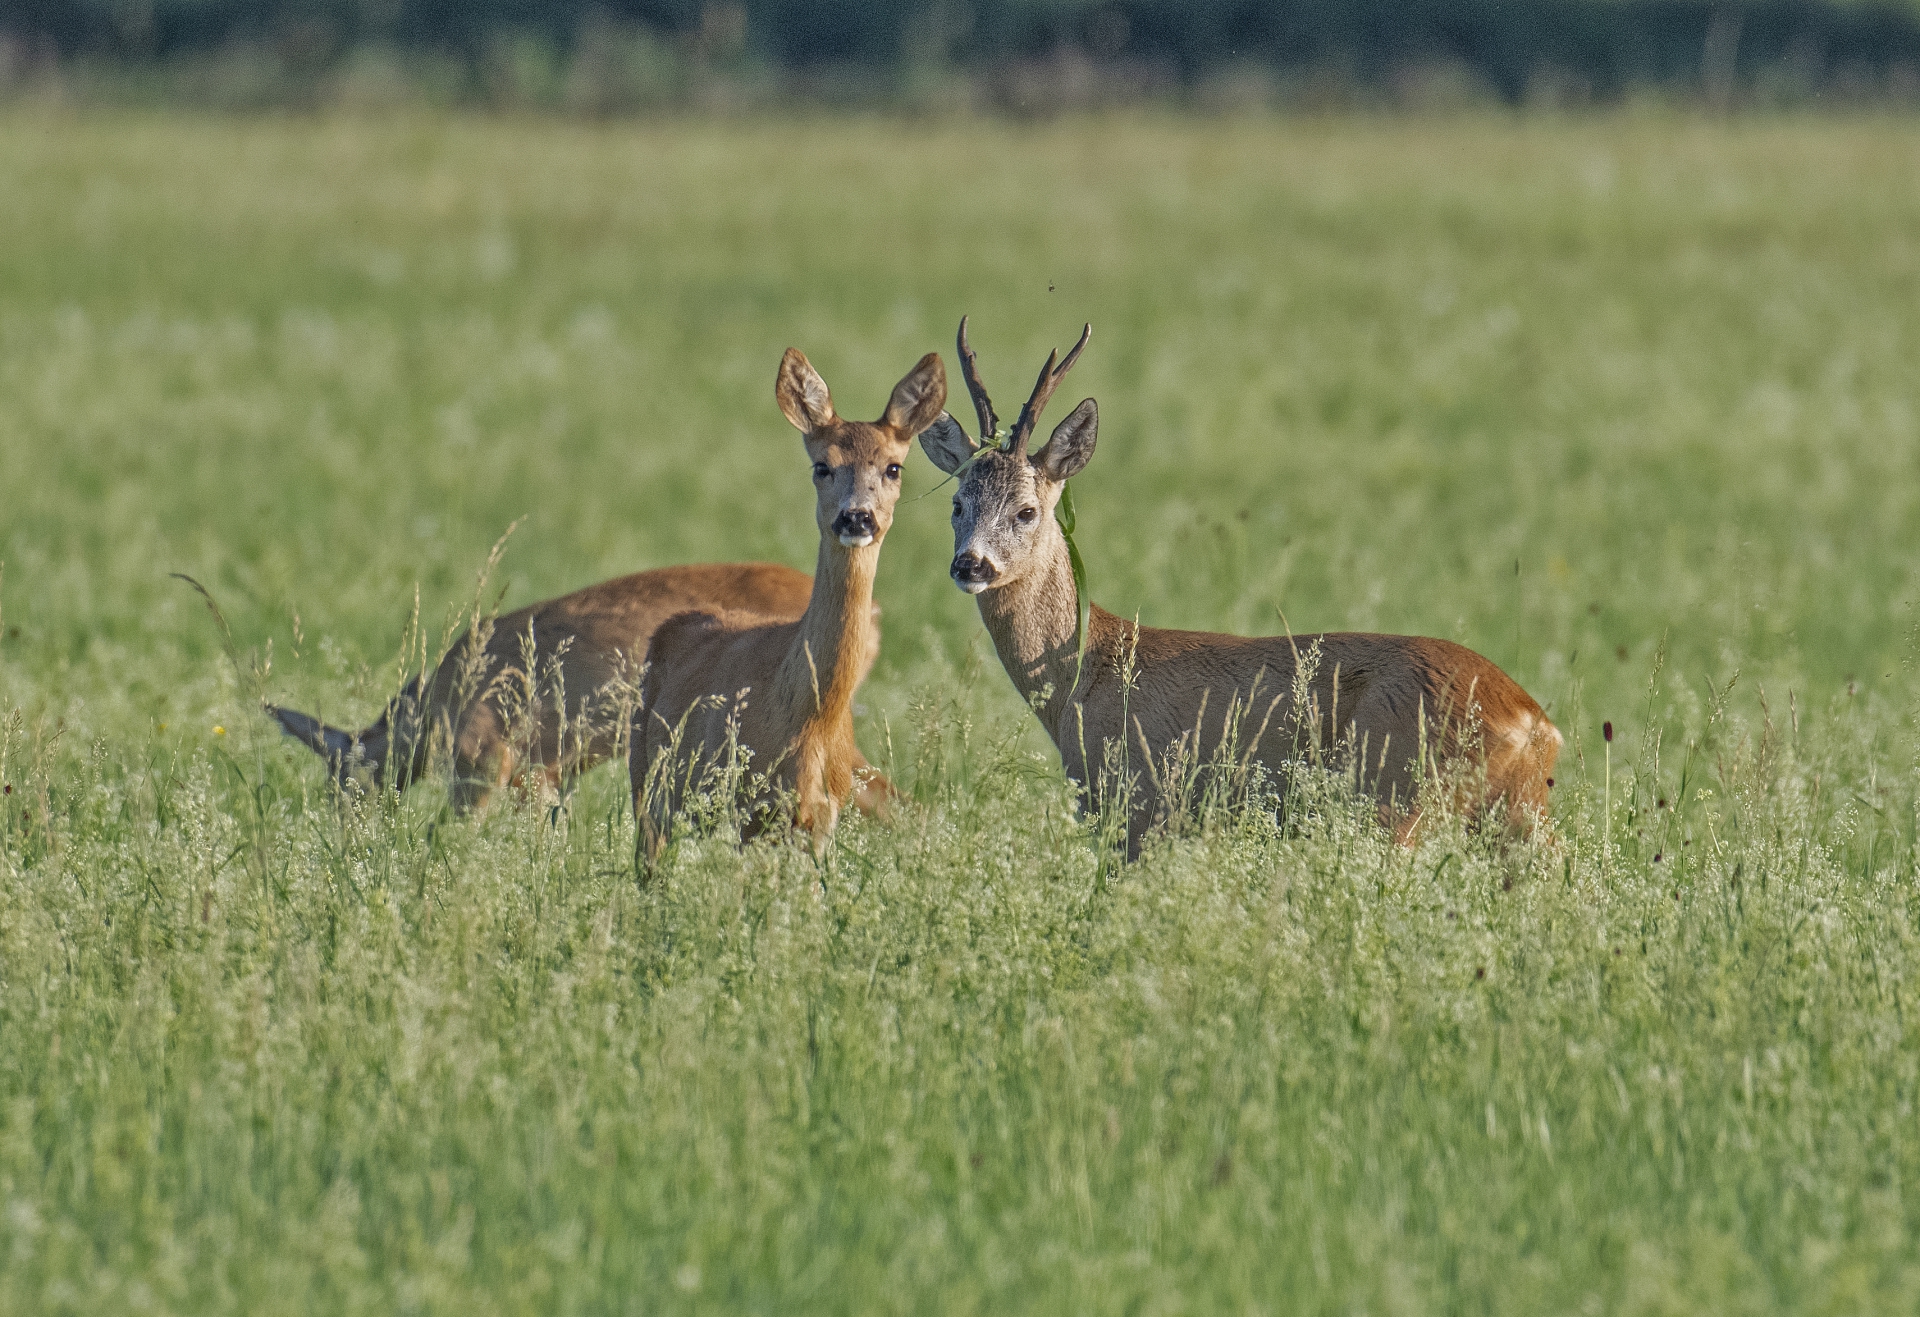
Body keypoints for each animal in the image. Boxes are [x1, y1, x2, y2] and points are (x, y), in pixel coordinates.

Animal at [633, 351, 948, 867]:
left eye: (893, 468)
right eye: (822, 466)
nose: (857, 517)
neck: (809, 723)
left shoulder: (819, 817)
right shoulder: (747, 809)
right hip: (648, 783)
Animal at [921, 320, 1566, 856]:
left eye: (1027, 510)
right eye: (956, 504)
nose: (970, 565)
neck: (1085, 673)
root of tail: (1534, 721)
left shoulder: (1137, 809)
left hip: (1396, 802)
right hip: (1515, 816)